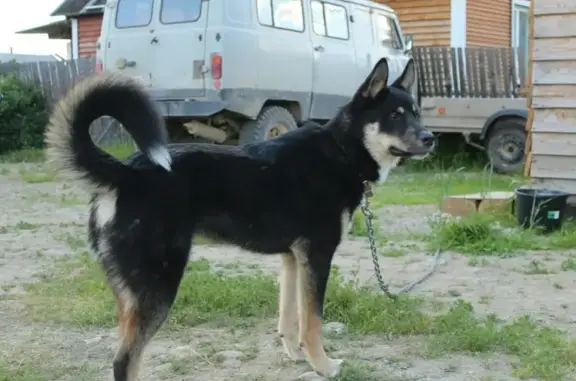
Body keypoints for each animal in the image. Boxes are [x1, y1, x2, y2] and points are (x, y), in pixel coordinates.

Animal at [45, 58, 436, 378]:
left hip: (133, 294)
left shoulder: (293, 260)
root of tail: (125, 172)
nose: (431, 138)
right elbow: (313, 322)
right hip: (158, 286)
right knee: (124, 362)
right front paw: (323, 366)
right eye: (395, 115)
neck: (340, 152)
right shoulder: (317, 257)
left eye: (416, 112)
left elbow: (290, 319)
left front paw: (296, 356)